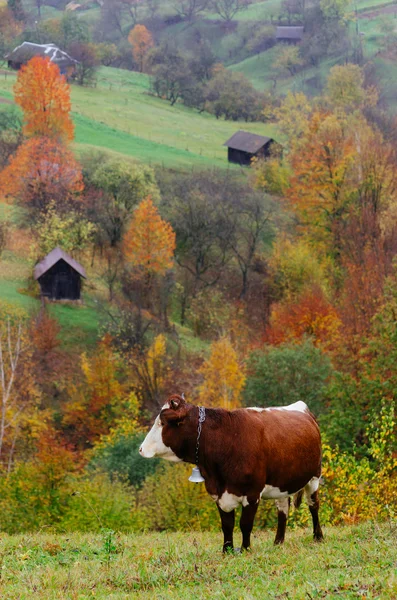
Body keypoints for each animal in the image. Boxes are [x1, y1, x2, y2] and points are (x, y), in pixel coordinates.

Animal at [138, 394, 322, 552]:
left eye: (162, 423)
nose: (141, 449)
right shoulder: (219, 494)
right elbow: (227, 525)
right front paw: (226, 551)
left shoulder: (252, 494)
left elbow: (245, 524)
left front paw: (245, 549)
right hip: (282, 481)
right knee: (283, 508)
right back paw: (278, 542)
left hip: (314, 477)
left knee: (313, 505)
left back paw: (318, 537)